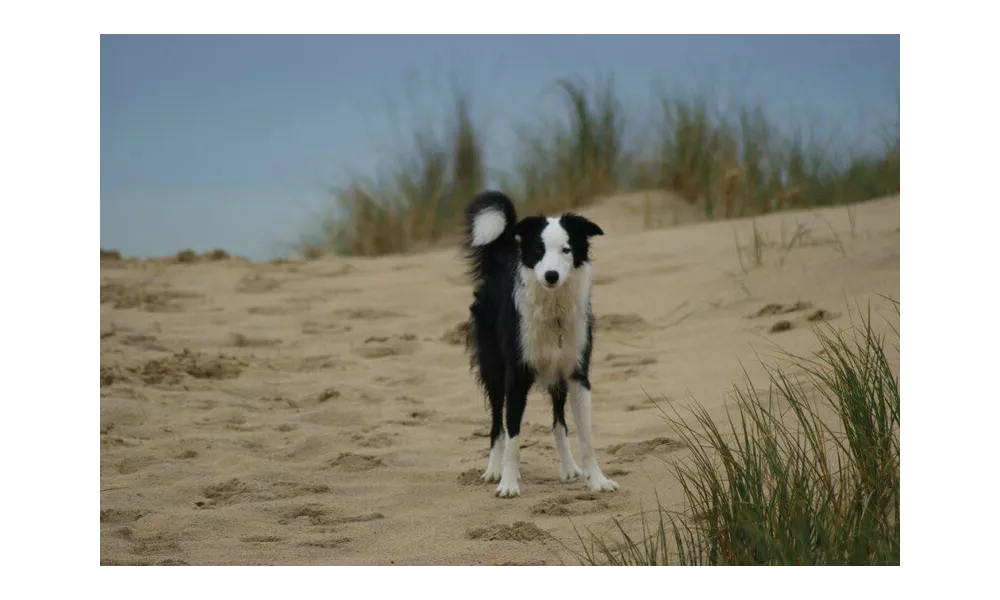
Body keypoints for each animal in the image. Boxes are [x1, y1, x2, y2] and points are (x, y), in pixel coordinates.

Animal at [460, 191, 616, 496]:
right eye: (539, 250)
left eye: (566, 250)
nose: (551, 275)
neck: (553, 311)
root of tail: (500, 257)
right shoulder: (516, 375)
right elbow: (513, 436)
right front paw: (509, 483)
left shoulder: (577, 375)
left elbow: (586, 438)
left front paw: (597, 480)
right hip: (494, 369)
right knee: (496, 424)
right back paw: (493, 470)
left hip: (557, 376)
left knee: (558, 422)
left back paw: (569, 468)